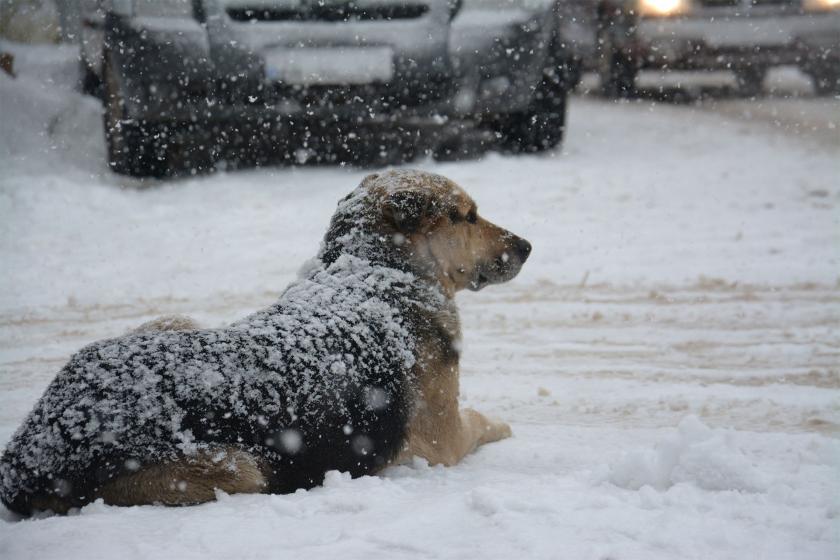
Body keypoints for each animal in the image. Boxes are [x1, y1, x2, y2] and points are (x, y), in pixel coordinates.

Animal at [0, 171, 532, 516]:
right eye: (467, 216)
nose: (527, 246)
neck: (372, 270)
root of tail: (31, 447)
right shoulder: (443, 441)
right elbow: (482, 421)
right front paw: (504, 424)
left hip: (174, 322)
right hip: (240, 467)